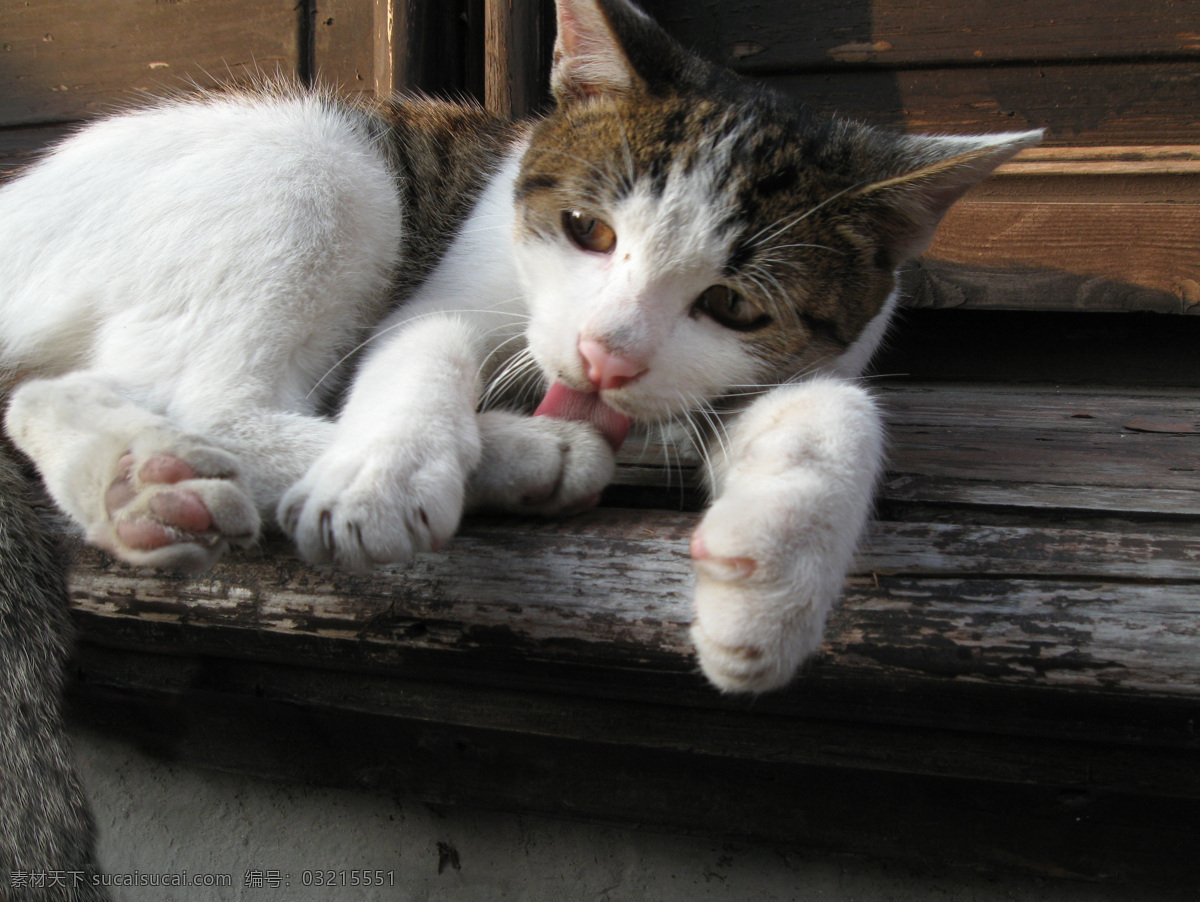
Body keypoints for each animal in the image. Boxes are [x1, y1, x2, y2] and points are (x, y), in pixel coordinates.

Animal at [0, 0, 1036, 878]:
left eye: (734, 306)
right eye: (586, 230)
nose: (607, 354)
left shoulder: (800, 359)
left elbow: (837, 409)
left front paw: (771, 586)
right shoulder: (443, 295)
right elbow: (428, 345)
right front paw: (386, 471)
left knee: (52, 395)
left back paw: (138, 487)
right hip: (318, 160)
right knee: (205, 392)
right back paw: (528, 455)